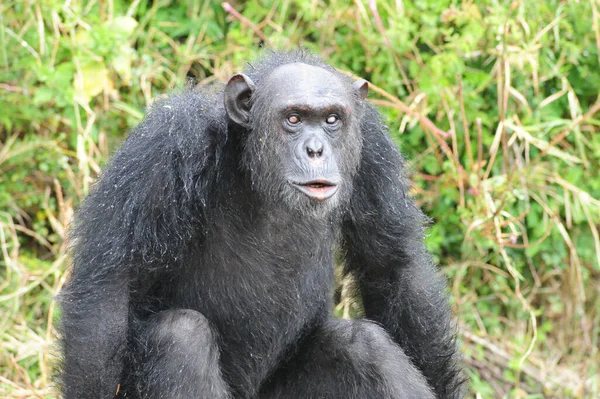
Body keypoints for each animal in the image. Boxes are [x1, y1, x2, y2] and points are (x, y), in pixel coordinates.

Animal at [58, 50, 464, 399]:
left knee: (366, 346)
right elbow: (110, 286)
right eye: (293, 119)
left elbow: (395, 267)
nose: (315, 149)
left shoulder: (376, 152)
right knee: (180, 338)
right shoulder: (161, 150)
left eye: (332, 120)